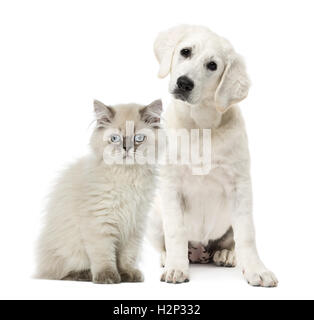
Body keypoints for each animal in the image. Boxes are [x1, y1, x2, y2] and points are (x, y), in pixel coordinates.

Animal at [36, 99, 162, 284]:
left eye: (138, 138)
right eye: (115, 138)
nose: (126, 148)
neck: (127, 177)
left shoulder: (135, 223)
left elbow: (128, 256)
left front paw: (127, 274)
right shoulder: (99, 222)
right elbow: (104, 255)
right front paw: (108, 277)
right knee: (62, 273)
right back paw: (85, 275)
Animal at [148, 25, 278, 288]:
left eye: (212, 65)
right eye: (185, 52)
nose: (184, 83)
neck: (200, 126)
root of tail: (200, 251)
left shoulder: (240, 185)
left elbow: (247, 235)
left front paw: (257, 270)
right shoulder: (170, 185)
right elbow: (175, 232)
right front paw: (176, 267)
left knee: (230, 241)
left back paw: (225, 254)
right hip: (155, 218)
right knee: (166, 241)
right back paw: (170, 258)